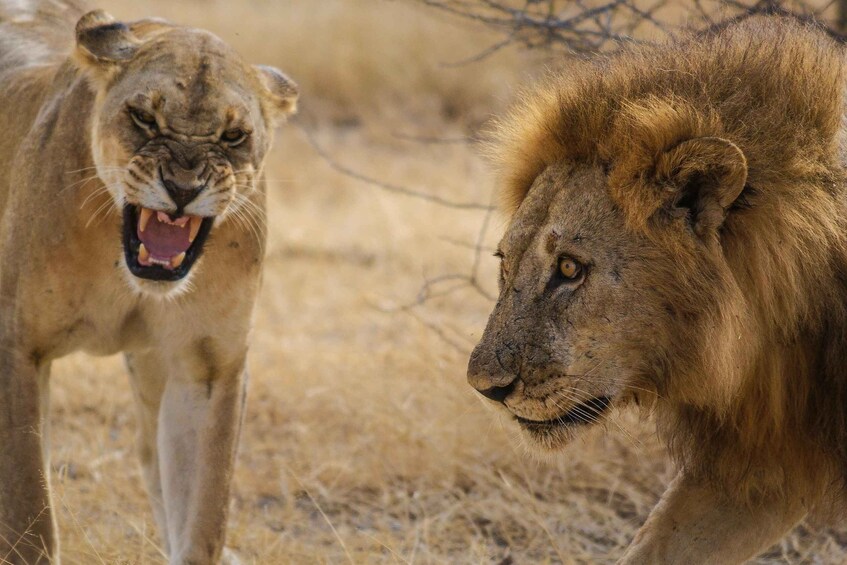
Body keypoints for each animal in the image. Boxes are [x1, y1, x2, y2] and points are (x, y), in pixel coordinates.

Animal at [0, 2, 297, 563]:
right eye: (144, 118)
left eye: (233, 136)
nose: (182, 188)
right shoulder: (18, 345)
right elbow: (29, 513)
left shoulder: (207, 366)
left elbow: (202, 514)